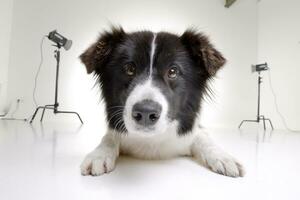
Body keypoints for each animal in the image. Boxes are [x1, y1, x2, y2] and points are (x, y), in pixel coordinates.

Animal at [79, 26, 244, 177]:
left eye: (173, 71)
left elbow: (203, 137)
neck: (152, 140)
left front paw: (223, 157)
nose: (145, 112)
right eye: (129, 69)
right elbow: (109, 138)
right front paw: (99, 154)